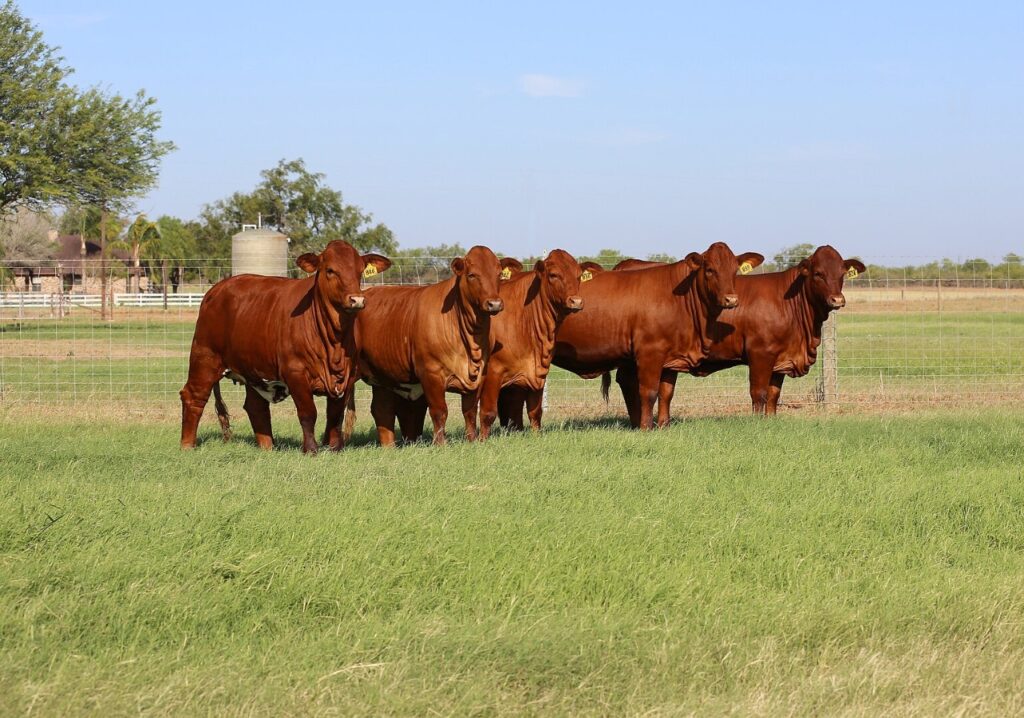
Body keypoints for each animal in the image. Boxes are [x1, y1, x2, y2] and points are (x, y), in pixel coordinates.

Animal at [179, 240, 391, 453]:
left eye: (360, 271)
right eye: (330, 270)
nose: (357, 300)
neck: (335, 342)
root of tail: (215, 290)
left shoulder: (347, 376)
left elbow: (335, 416)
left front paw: (335, 448)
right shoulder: (296, 373)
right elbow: (308, 413)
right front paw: (310, 449)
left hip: (252, 368)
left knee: (256, 407)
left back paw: (267, 447)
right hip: (204, 357)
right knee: (193, 397)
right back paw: (187, 445)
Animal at [349, 245, 514, 446]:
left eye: (499, 275)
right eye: (472, 275)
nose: (494, 304)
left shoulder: (479, 375)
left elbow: (469, 411)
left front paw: (472, 440)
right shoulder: (431, 373)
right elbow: (439, 411)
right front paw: (440, 444)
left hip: (382, 376)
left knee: (382, 410)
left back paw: (389, 447)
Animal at [498, 242, 764, 431]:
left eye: (734, 271)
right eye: (709, 270)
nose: (731, 299)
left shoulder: (671, 357)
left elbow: (666, 392)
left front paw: (663, 426)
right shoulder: (649, 352)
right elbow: (648, 391)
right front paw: (646, 427)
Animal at [608, 244, 865, 420]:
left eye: (842, 273)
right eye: (818, 273)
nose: (837, 300)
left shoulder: (781, 357)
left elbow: (774, 394)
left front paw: (771, 421)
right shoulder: (760, 353)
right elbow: (759, 392)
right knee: (629, 382)